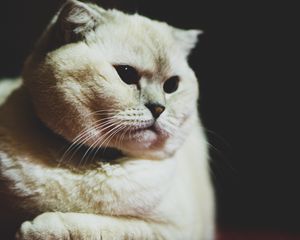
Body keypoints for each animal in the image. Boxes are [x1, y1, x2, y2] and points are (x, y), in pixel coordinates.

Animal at [0, 0, 216, 239]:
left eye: (172, 85)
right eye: (126, 74)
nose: (159, 108)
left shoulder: (170, 229)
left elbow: (98, 226)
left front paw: (35, 227)